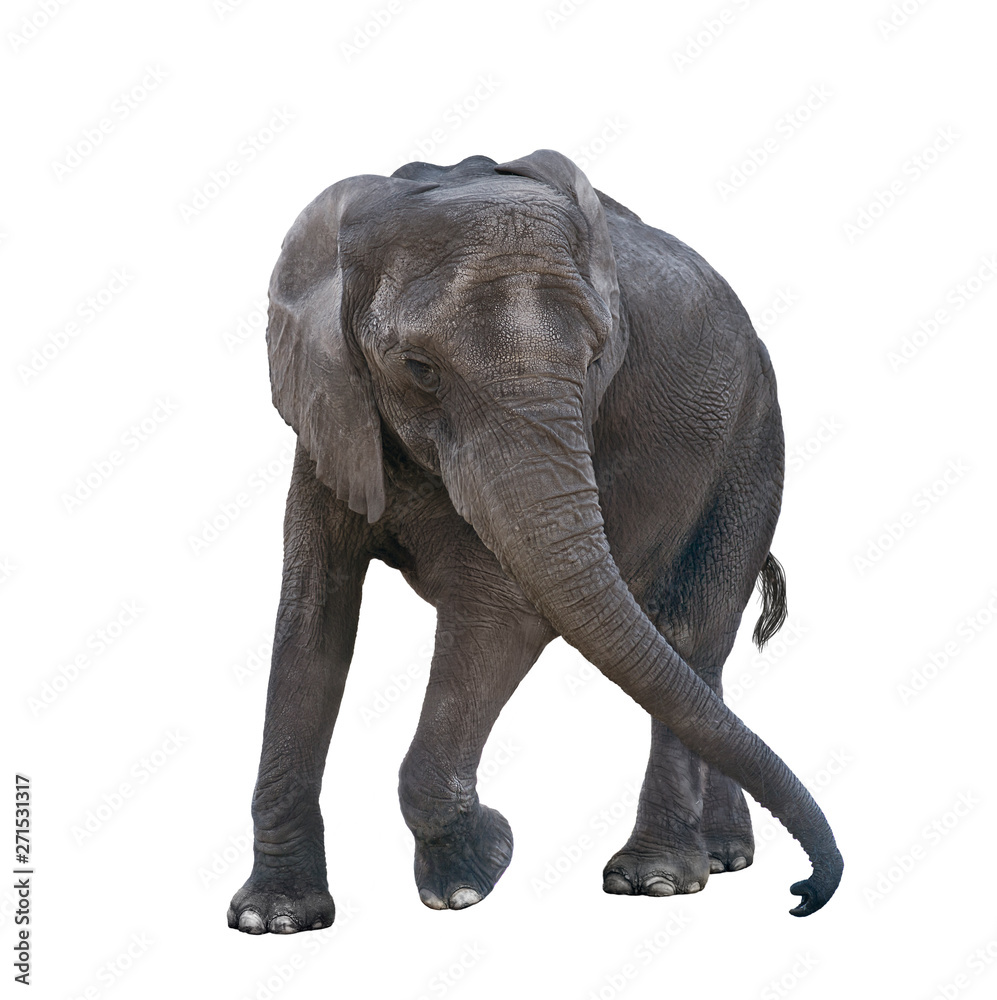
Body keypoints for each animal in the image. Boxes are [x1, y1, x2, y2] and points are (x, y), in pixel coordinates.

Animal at [227, 148, 843, 934]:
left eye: (595, 358)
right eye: (418, 369)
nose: (804, 895)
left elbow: (499, 614)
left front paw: (474, 873)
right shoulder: (328, 410)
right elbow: (312, 624)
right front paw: (272, 920)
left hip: (751, 442)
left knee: (691, 634)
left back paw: (656, 880)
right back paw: (726, 859)